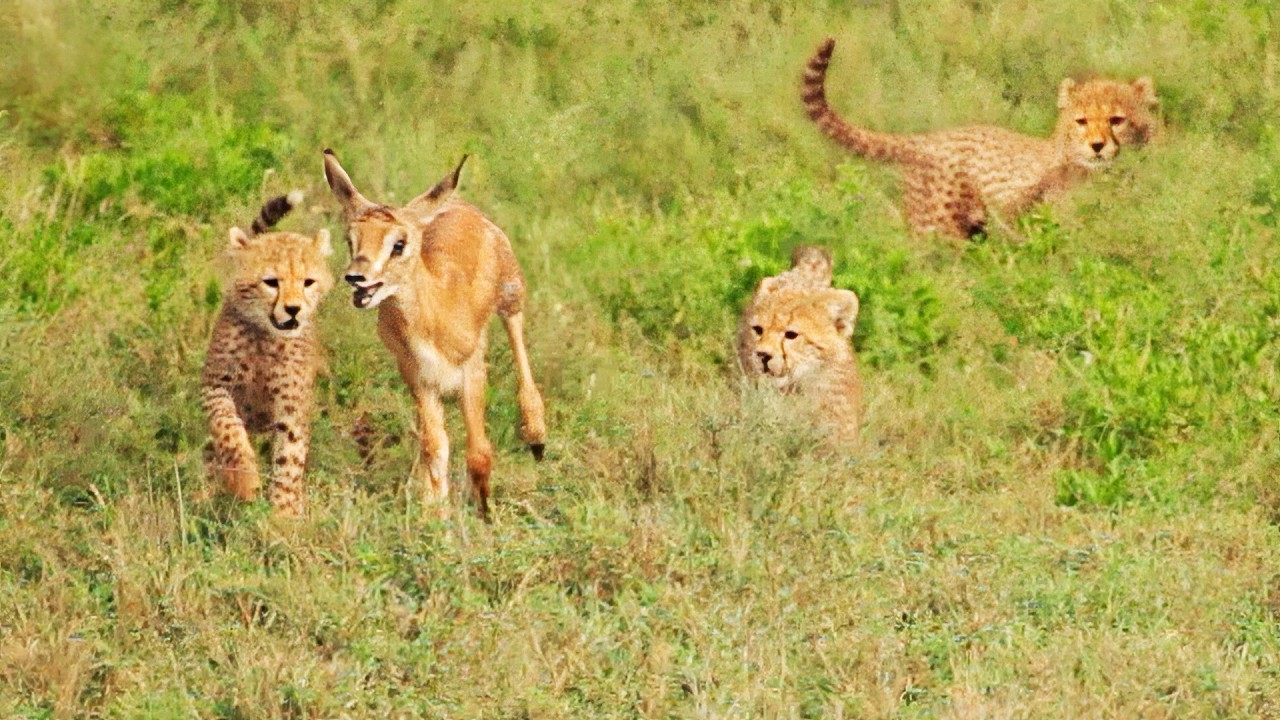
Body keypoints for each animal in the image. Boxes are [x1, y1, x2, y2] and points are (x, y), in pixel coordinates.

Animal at [200, 191, 335, 516]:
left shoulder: (291, 407)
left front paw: (283, 514)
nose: (293, 309)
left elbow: (290, 458)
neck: (266, 336)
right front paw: (244, 481)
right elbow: (228, 429)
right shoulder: (215, 386)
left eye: (308, 282)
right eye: (271, 282)